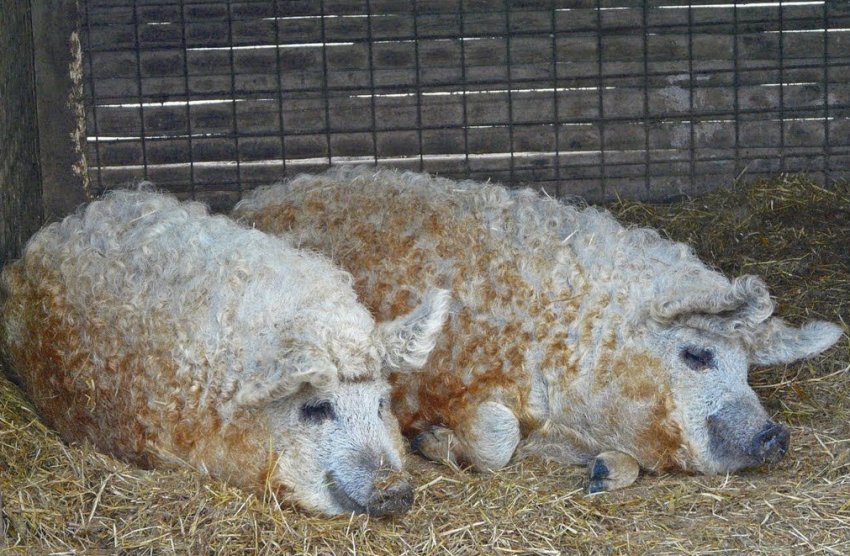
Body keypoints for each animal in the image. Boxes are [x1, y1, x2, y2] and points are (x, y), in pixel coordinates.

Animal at [234, 168, 840, 490]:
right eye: (696, 354)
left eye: (748, 369)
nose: (776, 433)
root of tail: (250, 201)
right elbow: (498, 437)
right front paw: (433, 442)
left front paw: (601, 473)